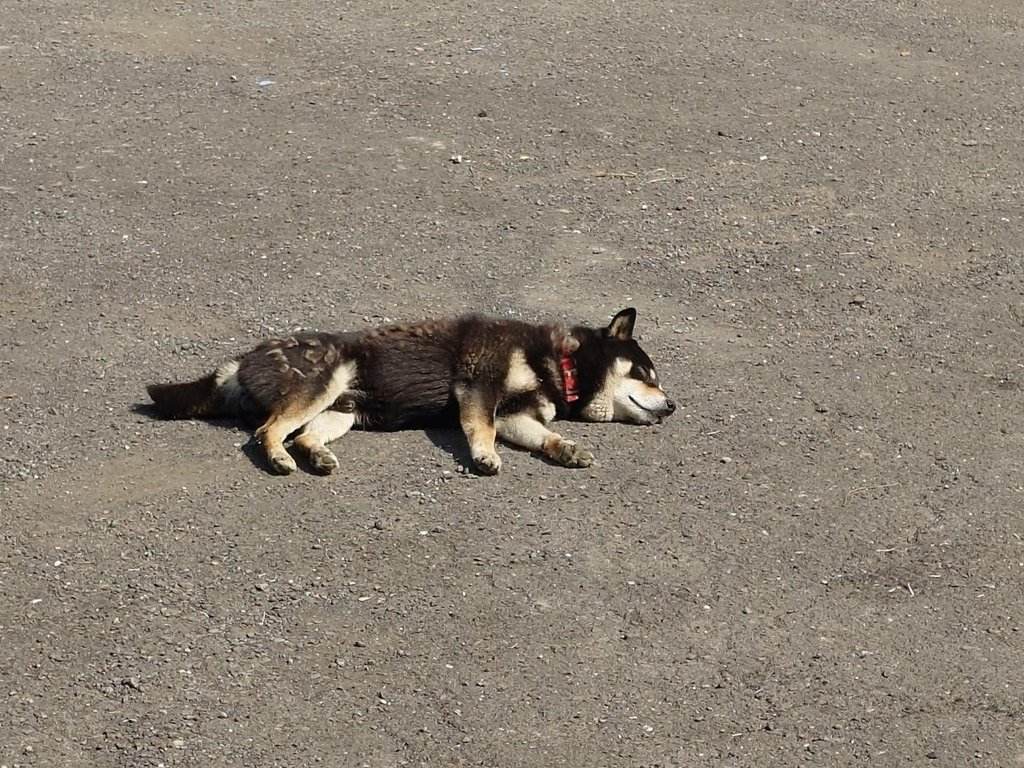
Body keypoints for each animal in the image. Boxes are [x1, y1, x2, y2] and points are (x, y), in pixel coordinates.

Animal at [144, 307, 671, 475]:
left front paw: (566, 448)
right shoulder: (478, 388)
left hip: (343, 410)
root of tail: (242, 360)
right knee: (267, 432)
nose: (673, 406)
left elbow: (544, 436)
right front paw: (484, 456)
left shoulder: (516, 415)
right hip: (322, 382)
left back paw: (316, 455)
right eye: (647, 373)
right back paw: (278, 457)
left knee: (305, 435)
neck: (560, 363)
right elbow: (480, 429)